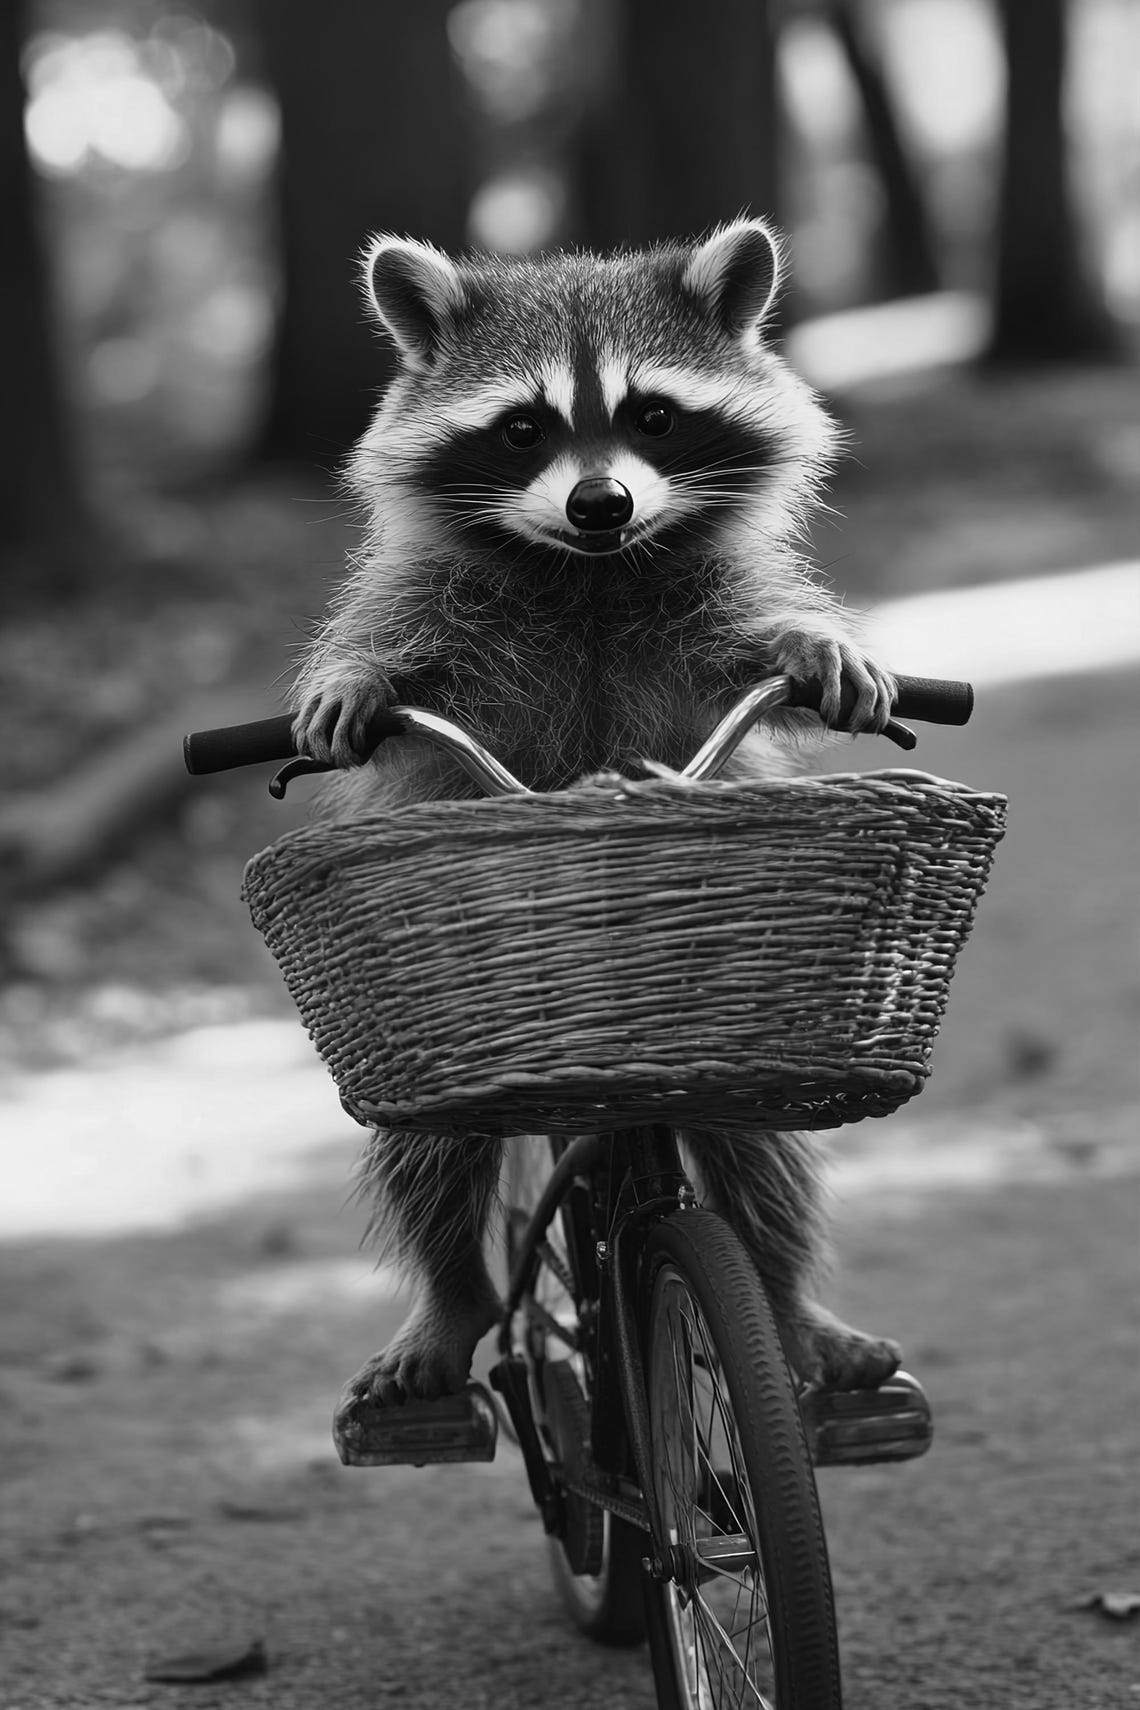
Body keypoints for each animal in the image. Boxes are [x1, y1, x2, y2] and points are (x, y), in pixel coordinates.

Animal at [293, 219, 902, 1421]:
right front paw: (356, 678)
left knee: (756, 1155)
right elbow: (383, 636)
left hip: (727, 1041)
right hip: (429, 1033)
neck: (590, 573)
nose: (600, 505)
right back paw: (450, 1299)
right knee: (429, 1153)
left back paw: (786, 1299)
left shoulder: (705, 602)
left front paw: (812, 643)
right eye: (523, 428)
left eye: (653, 416)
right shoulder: (433, 596)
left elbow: (757, 639)